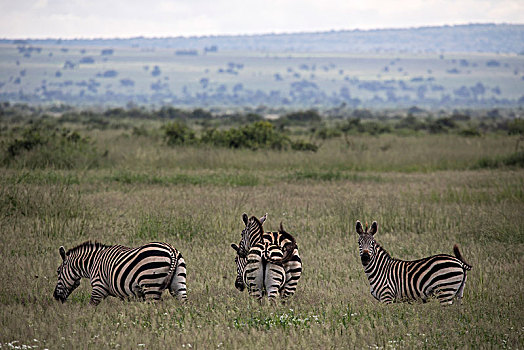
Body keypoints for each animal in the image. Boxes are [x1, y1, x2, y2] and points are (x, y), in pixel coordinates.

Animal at [53, 242, 187, 304]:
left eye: (58, 272)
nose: (55, 297)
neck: (92, 264)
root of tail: (171, 250)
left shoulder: (99, 287)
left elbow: (91, 306)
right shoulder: (126, 295)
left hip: (151, 284)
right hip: (178, 283)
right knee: (183, 303)